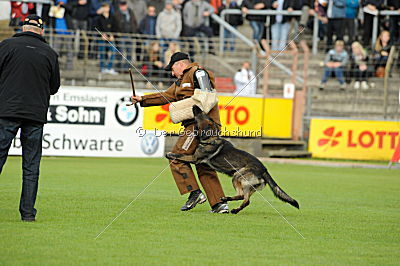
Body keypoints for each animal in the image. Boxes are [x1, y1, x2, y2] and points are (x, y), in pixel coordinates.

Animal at [166, 105, 300, 214]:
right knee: (246, 200)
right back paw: (233, 207)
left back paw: (227, 200)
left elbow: (179, 156)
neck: (211, 137)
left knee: (242, 196)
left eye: (201, 113)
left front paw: (169, 154)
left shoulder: (194, 158)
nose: (194, 105)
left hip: (237, 176)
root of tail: (264, 170)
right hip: (248, 186)